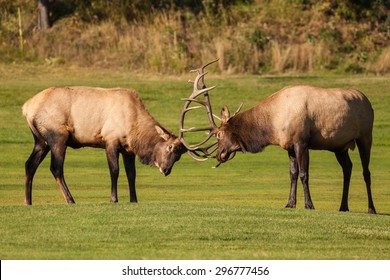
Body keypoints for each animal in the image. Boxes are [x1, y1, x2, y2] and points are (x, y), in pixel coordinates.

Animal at [22, 86, 187, 205]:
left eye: (179, 156)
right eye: (170, 147)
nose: (166, 170)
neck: (134, 128)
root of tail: (27, 108)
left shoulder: (128, 150)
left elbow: (131, 174)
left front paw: (134, 199)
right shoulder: (110, 140)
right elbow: (114, 170)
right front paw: (113, 199)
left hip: (41, 141)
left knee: (29, 164)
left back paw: (28, 201)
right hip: (58, 136)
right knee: (56, 167)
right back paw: (70, 199)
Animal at [181, 58, 378, 213]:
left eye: (220, 134)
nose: (219, 155)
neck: (273, 124)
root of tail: (368, 102)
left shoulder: (301, 141)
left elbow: (304, 174)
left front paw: (309, 205)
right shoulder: (288, 145)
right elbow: (292, 173)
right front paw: (290, 203)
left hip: (365, 136)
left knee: (366, 171)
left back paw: (371, 208)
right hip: (339, 146)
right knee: (348, 168)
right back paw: (343, 206)